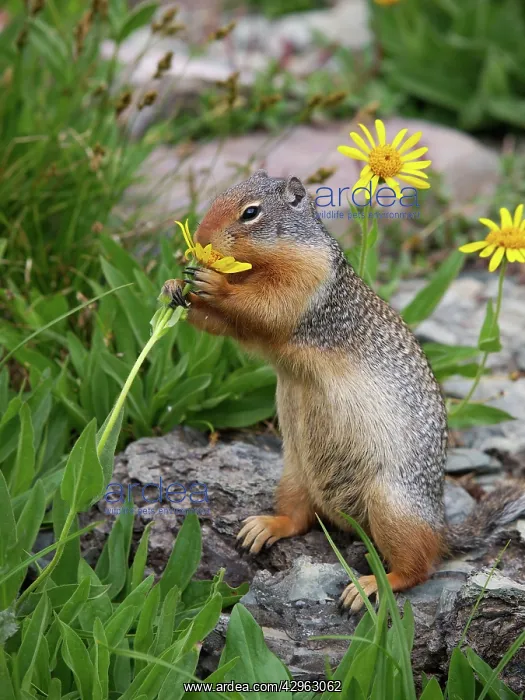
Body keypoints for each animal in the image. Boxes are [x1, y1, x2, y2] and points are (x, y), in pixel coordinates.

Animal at [174, 169, 525, 612]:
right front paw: (174, 285)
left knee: (419, 567)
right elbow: (227, 324)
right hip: (294, 475)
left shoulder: (307, 278)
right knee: (301, 518)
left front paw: (213, 281)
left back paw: (371, 586)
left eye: (250, 212)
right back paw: (265, 527)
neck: (263, 261)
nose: (200, 237)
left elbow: (266, 306)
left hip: (392, 508)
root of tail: (442, 524)